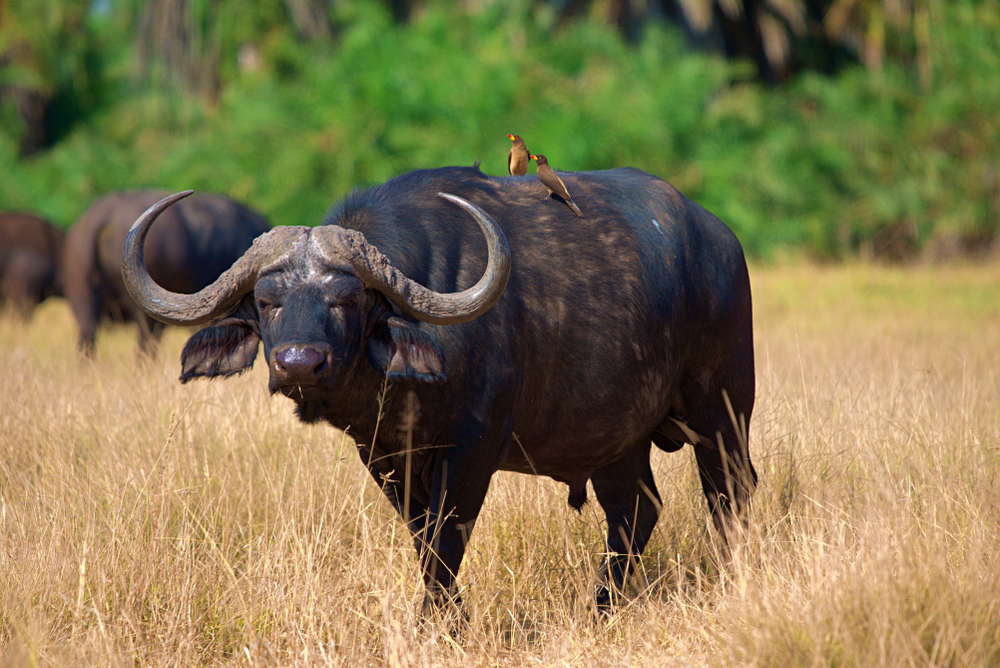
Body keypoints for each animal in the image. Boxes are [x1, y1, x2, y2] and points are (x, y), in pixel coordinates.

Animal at [121, 166, 752, 612]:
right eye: (266, 301)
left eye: (348, 299)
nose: (299, 363)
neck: (402, 387)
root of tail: (720, 239)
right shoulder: (383, 457)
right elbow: (422, 542)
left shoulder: (471, 453)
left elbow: (446, 541)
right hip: (618, 442)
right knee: (634, 511)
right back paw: (601, 606)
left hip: (723, 411)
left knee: (729, 493)